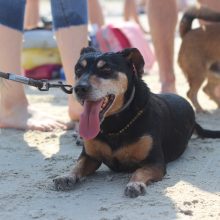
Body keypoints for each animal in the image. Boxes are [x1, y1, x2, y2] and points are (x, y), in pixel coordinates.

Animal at [53, 47, 220, 199]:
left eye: (106, 69)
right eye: (78, 70)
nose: (79, 88)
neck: (114, 125)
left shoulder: (155, 162)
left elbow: (139, 171)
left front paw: (135, 184)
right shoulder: (89, 157)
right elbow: (77, 165)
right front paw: (67, 176)